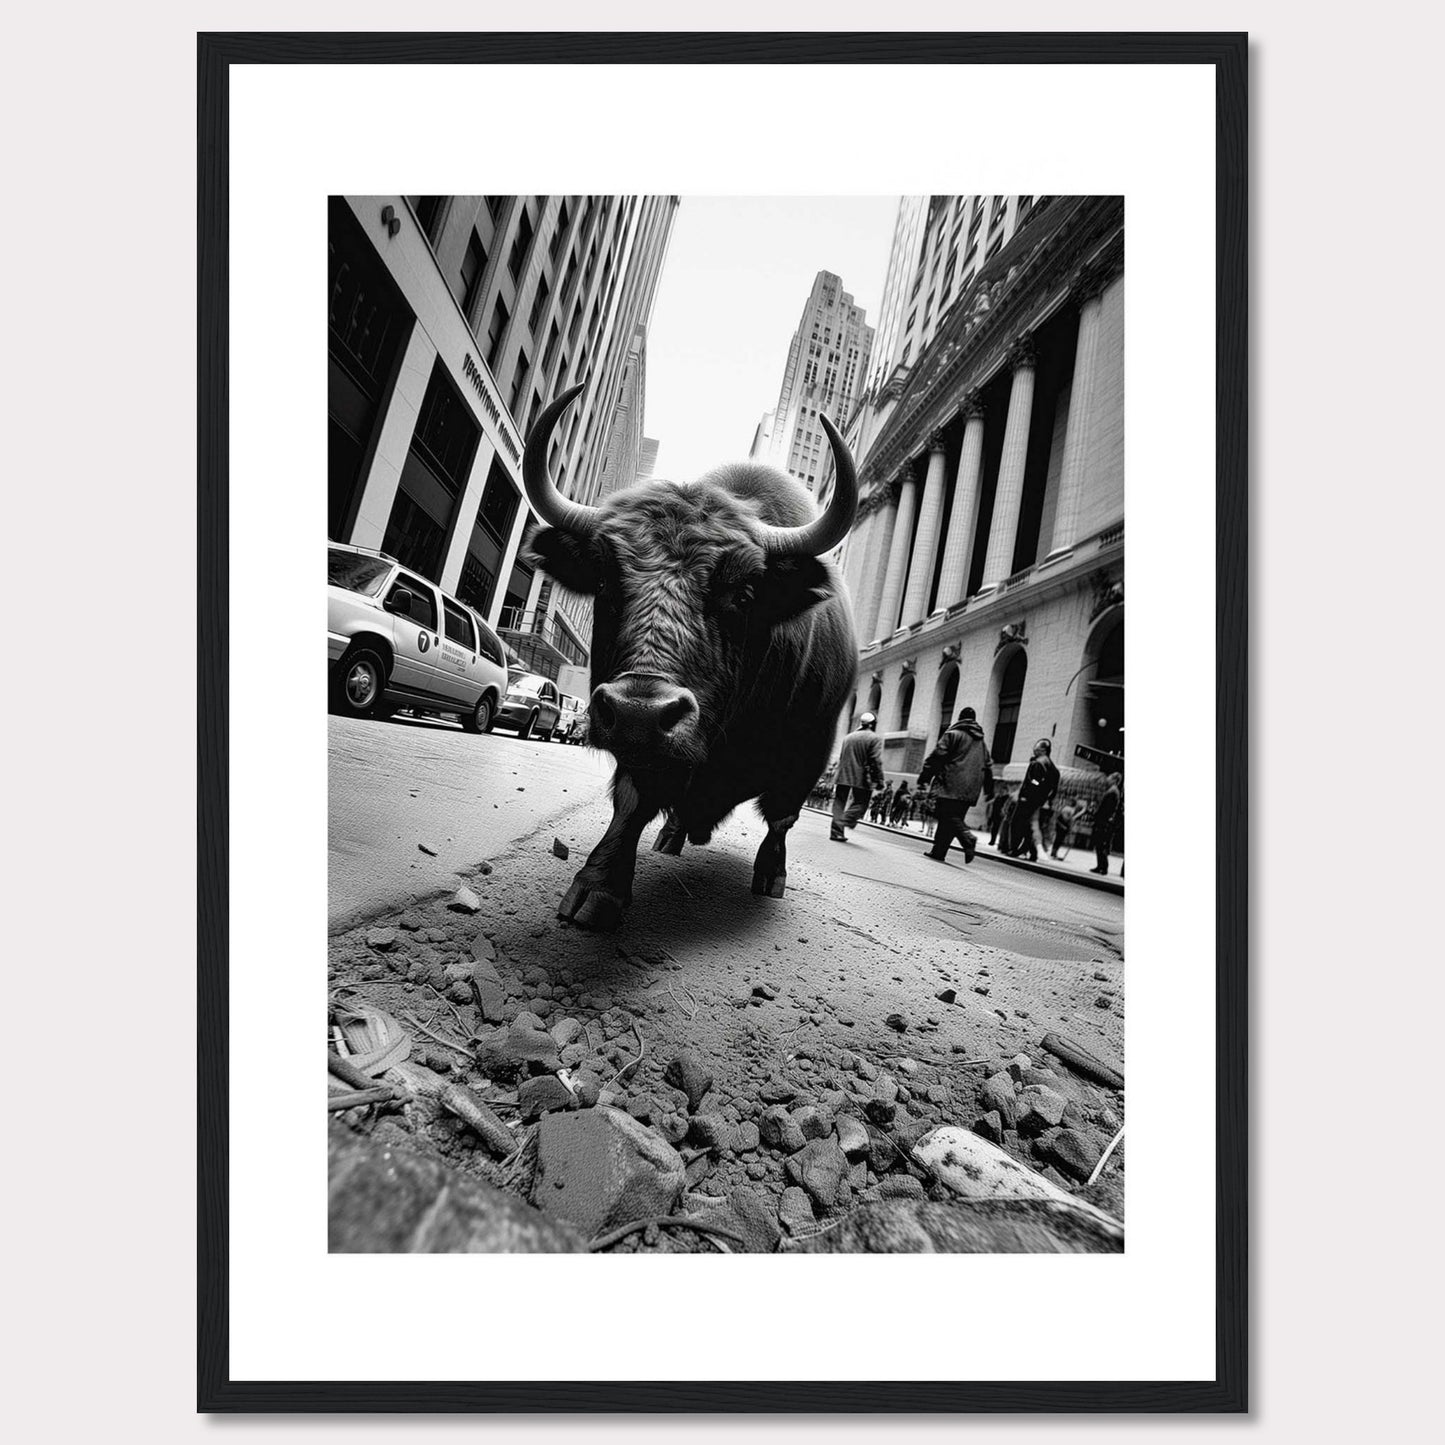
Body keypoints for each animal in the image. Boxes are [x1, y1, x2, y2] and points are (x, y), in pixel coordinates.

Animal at [520, 384, 855, 930]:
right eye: (605, 583)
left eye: (743, 593)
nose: (638, 711)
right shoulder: (646, 753)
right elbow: (632, 803)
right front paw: (598, 888)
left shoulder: (809, 750)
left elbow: (782, 819)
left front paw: (772, 876)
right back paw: (672, 836)